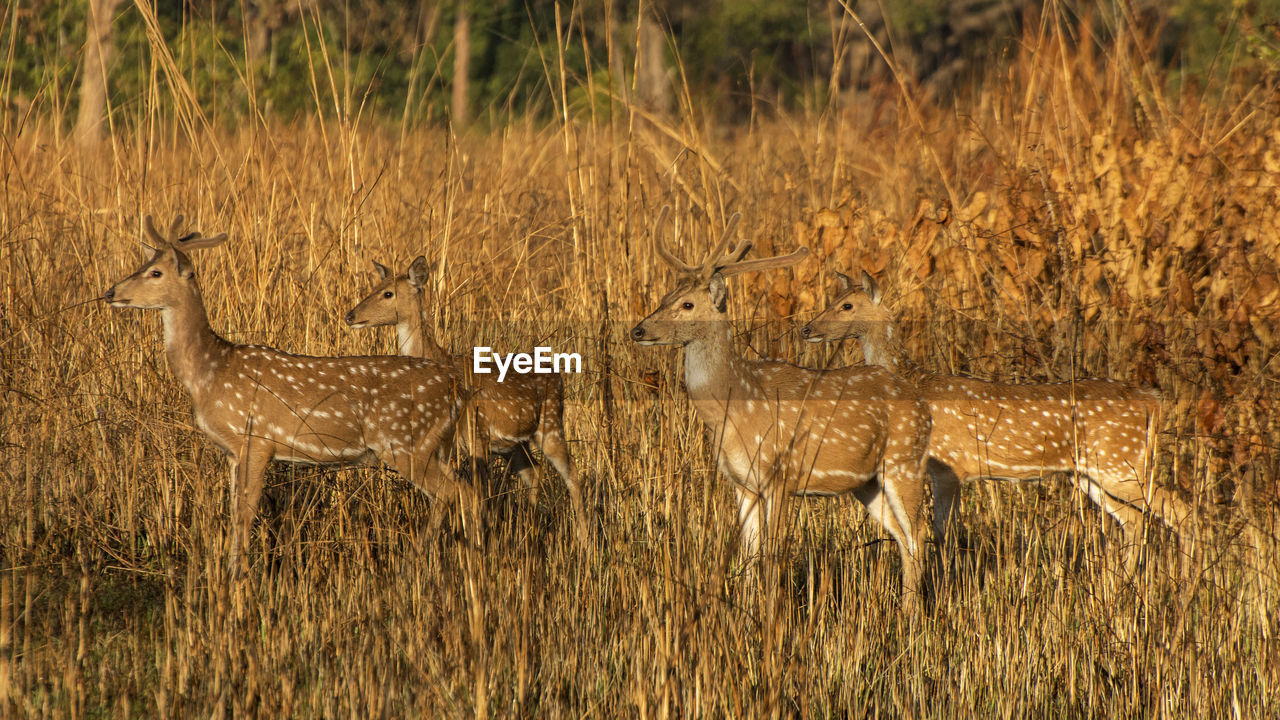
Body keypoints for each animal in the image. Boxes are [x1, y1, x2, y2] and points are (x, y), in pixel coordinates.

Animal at [104, 212, 473, 571]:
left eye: (155, 272)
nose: (110, 292)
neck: (210, 372)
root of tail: (455, 384)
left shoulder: (256, 439)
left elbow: (245, 513)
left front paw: (240, 574)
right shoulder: (232, 451)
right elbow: (234, 511)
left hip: (405, 442)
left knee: (454, 491)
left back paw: (430, 561)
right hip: (433, 445)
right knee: (465, 486)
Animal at [340, 254, 581, 525]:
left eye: (388, 293)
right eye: (375, 287)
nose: (350, 316)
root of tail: (556, 371)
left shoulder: (478, 432)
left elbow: (481, 492)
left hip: (550, 424)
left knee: (571, 473)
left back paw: (583, 531)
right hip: (515, 443)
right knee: (534, 470)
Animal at [627, 207, 931, 604]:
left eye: (687, 304)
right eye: (665, 296)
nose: (638, 330)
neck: (736, 410)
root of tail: (924, 407)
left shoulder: (781, 473)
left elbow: (772, 556)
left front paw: (772, 613)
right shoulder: (743, 483)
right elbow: (749, 555)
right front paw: (745, 608)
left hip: (904, 461)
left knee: (917, 533)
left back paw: (912, 614)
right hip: (868, 482)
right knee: (900, 534)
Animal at [803, 269, 1192, 556]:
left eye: (847, 305)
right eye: (832, 300)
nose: (806, 328)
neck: (915, 383)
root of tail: (1153, 399)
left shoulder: (949, 465)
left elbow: (942, 533)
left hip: (1122, 463)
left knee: (1179, 510)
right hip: (1089, 473)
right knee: (1134, 520)